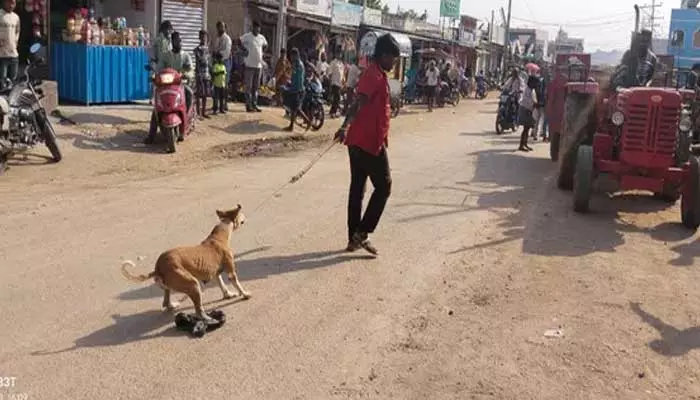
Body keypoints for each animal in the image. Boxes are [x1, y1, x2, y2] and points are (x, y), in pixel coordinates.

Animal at [121, 206, 250, 322]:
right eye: (240, 214)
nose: (245, 216)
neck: (220, 234)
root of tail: (158, 268)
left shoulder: (216, 274)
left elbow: (222, 285)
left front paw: (228, 294)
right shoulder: (231, 272)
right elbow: (237, 284)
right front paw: (245, 294)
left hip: (171, 287)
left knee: (166, 302)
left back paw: (173, 305)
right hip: (193, 284)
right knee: (198, 311)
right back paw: (208, 319)